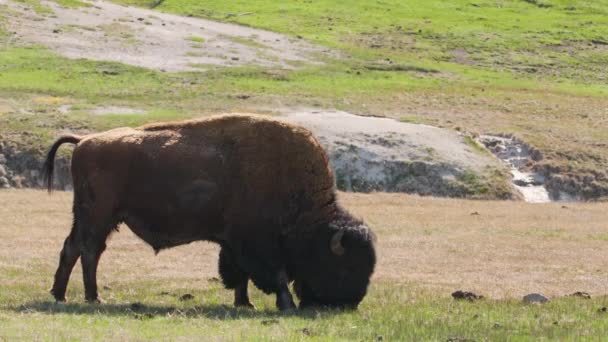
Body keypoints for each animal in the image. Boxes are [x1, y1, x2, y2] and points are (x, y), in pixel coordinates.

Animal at [42, 114, 376, 310]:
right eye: (346, 267)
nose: (350, 304)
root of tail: (84, 140)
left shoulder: (235, 244)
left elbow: (240, 275)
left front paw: (245, 304)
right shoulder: (258, 245)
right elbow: (274, 275)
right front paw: (286, 304)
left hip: (89, 217)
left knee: (72, 248)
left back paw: (60, 295)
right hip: (100, 217)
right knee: (90, 251)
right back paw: (93, 297)